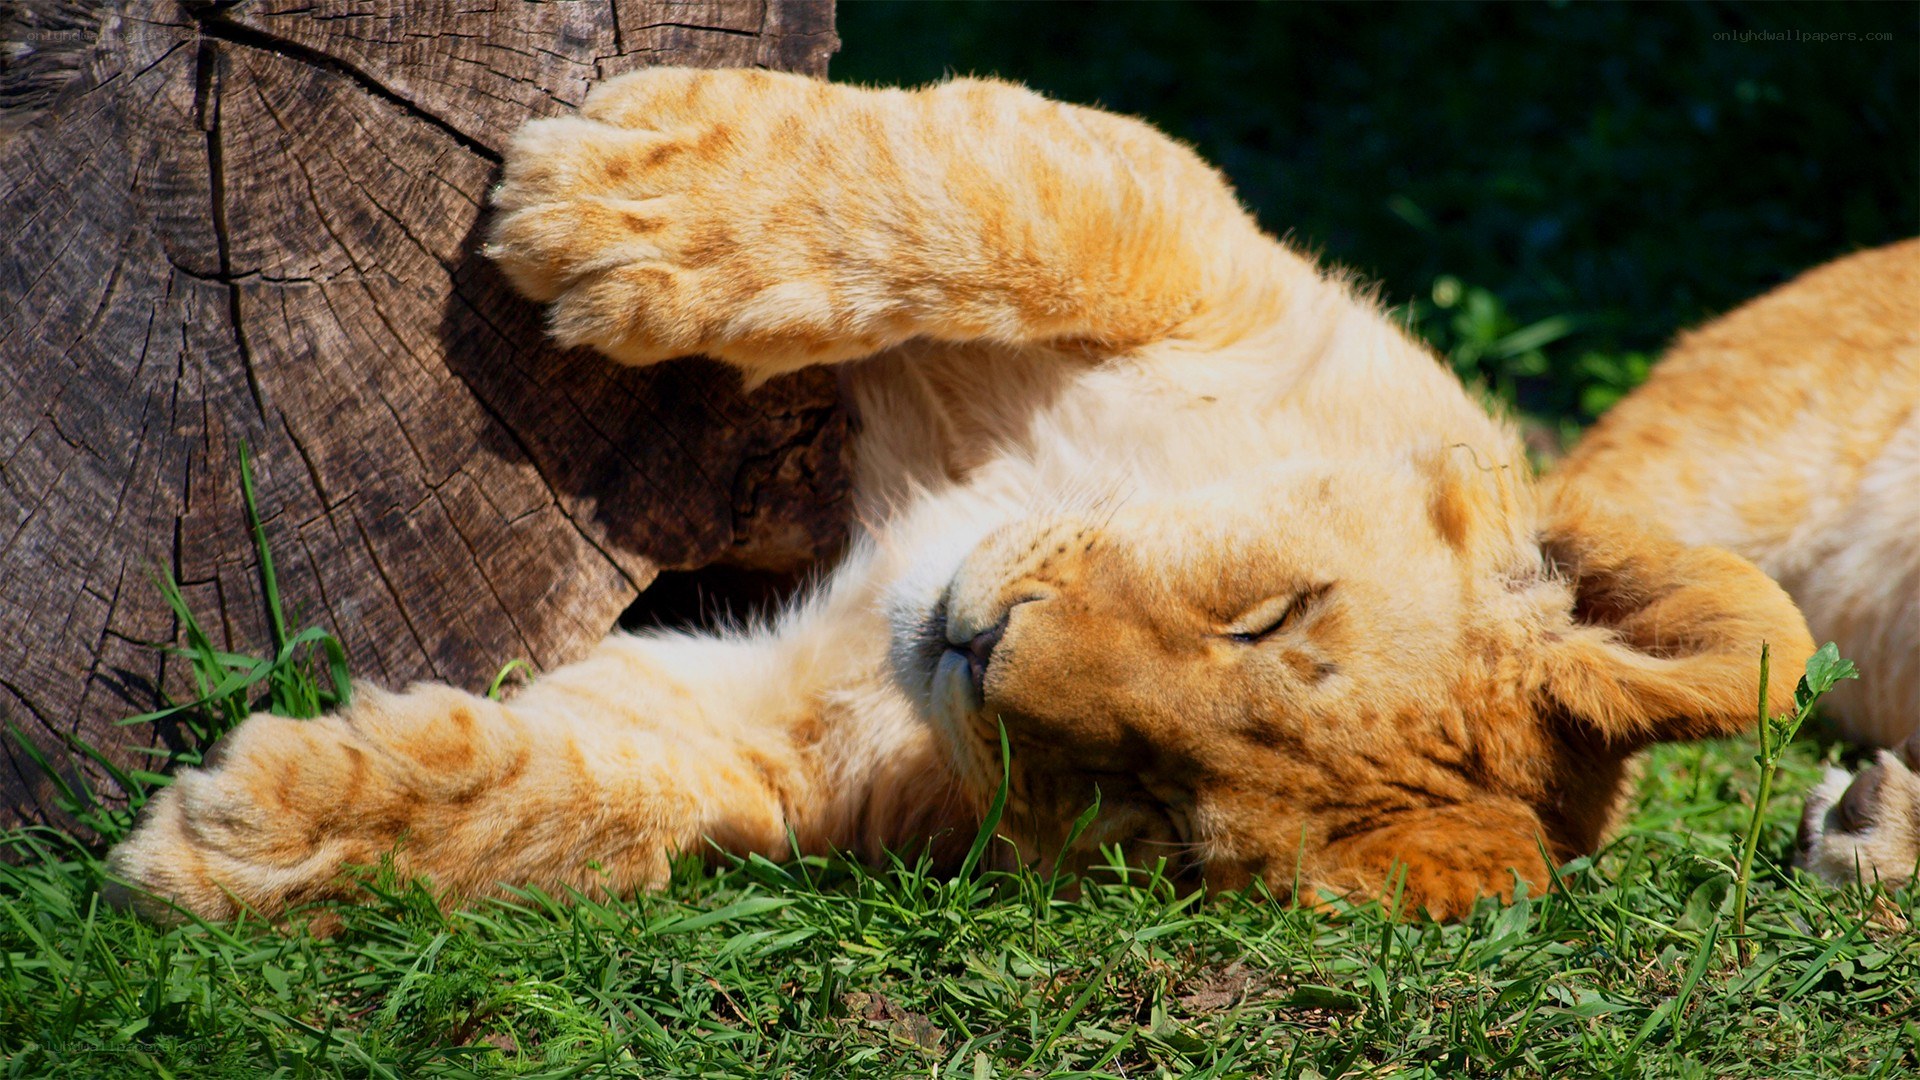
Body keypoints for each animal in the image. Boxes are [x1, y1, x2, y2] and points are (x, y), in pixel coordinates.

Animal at [106, 68, 1813, 923]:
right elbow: (1012, 194)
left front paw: (257, 840)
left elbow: (606, 793)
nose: (985, 652)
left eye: (1153, 813)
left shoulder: (795, 739)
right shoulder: (1215, 257)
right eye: (1269, 616)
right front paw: (630, 193)